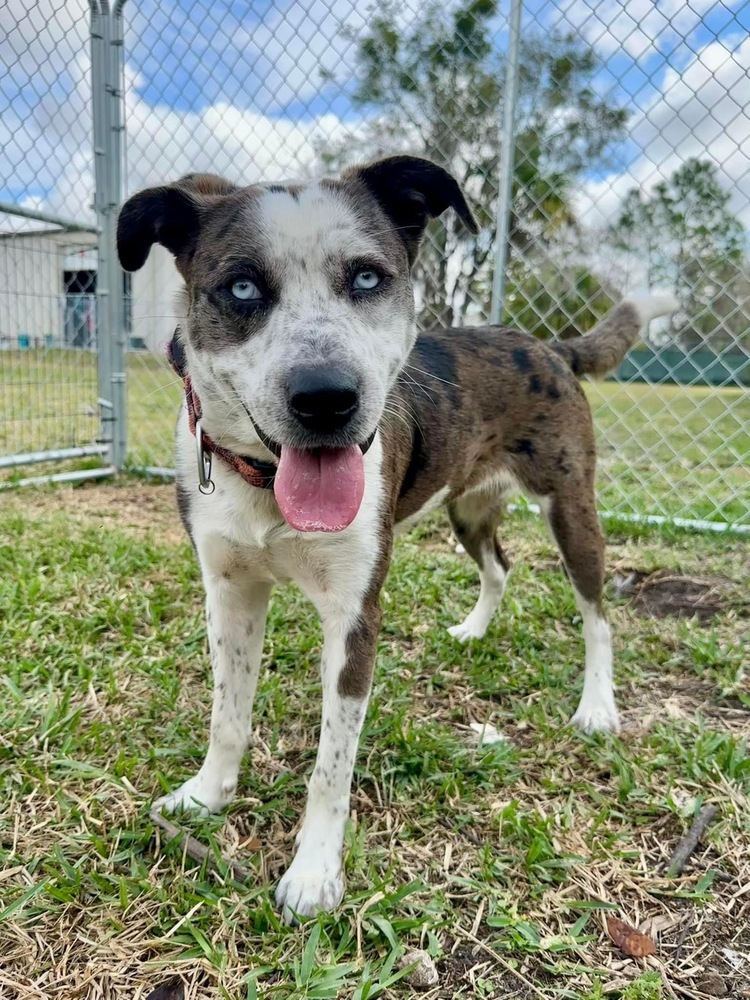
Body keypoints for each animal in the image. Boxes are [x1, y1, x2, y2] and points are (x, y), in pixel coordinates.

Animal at [119, 154, 680, 920]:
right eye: (240, 287)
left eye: (366, 278)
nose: (326, 398)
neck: (266, 483)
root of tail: (549, 345)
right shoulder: (229, 592)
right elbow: (226, 714)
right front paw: (207, 796)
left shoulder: (355, 615)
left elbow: (332, 763)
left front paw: (315, 872)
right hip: (466, 509)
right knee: (499, 566)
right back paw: (474, 631)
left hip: (572, 511)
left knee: (597, 614)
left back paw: (596, 706)